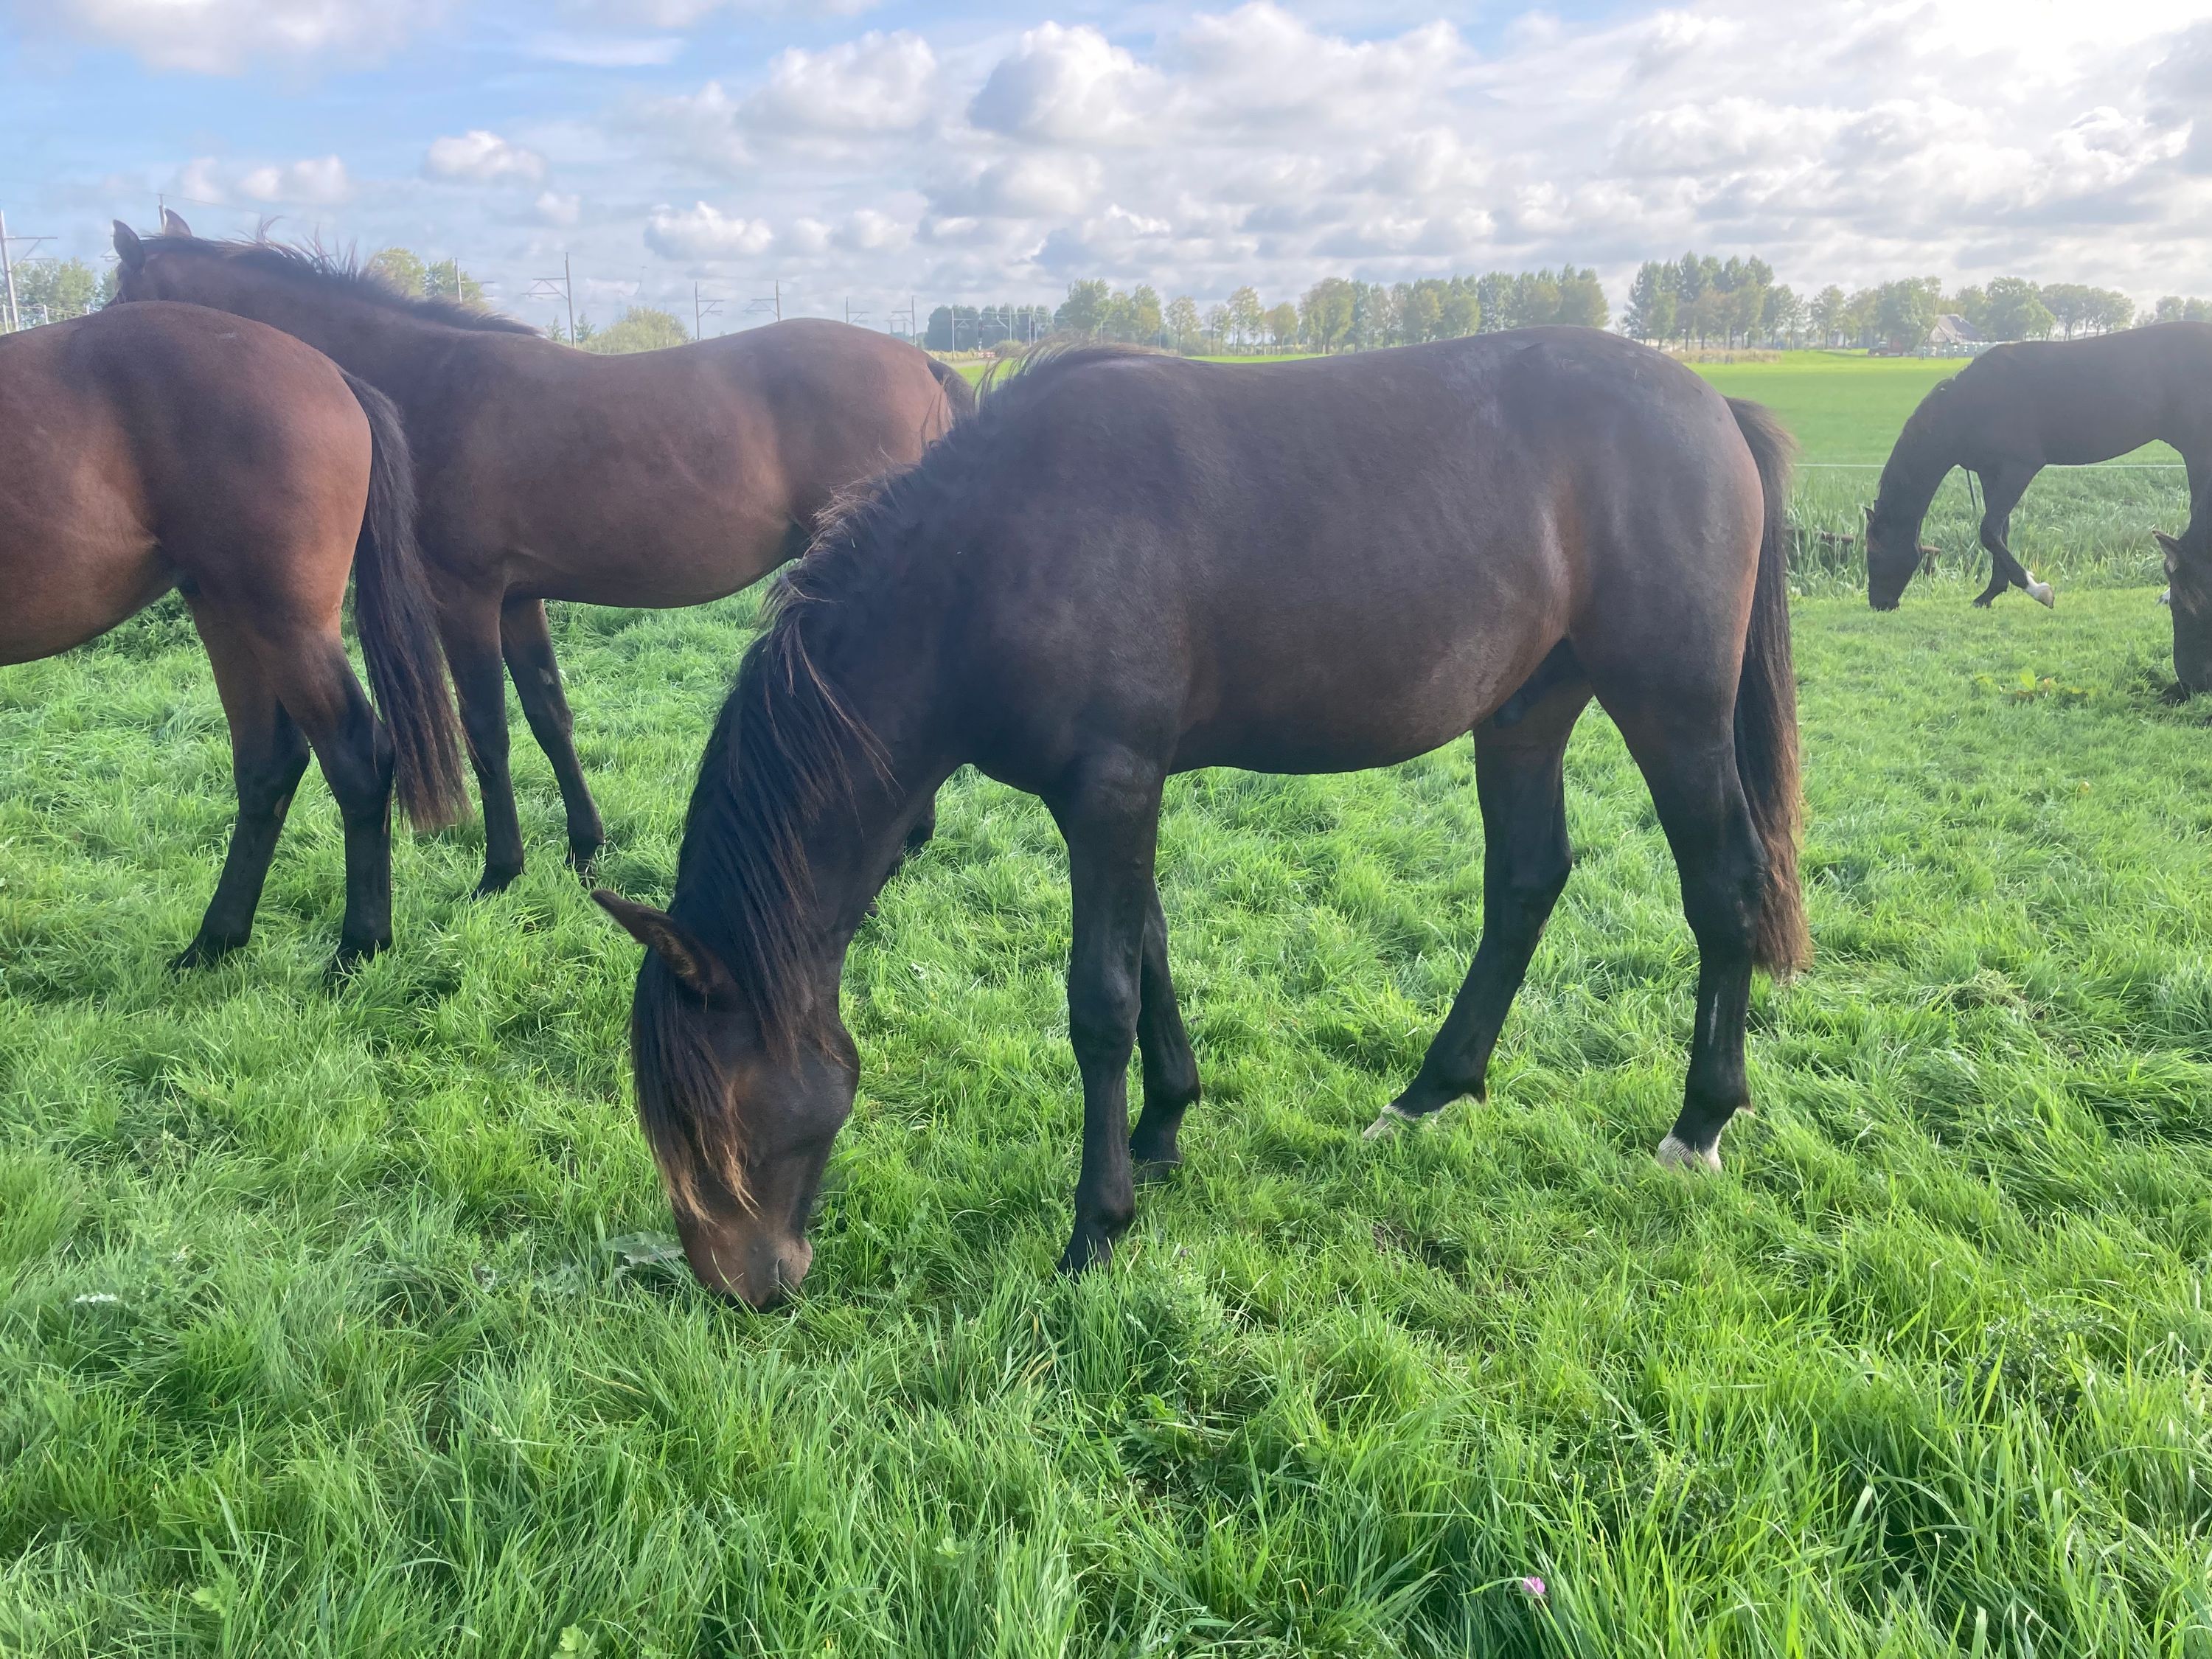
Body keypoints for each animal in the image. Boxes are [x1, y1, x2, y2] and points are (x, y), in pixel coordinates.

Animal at [0, 301, 467, 969]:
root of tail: (332, 374)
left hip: (284, 622)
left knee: (359, 756)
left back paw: (357, 947)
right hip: (227, 611)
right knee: (268, 763)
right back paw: (214, 942)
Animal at [112, 213, 972, 894]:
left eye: (118, 295)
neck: (422, 381)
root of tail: (921, 362)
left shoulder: (463, 595)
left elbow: (486, 726)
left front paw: (500, 870)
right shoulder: (520, 598)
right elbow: (548, 713)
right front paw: (585, 848)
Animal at [590, 335, 1810, 1308]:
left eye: (713, 1120)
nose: (745, 1288)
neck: (994, 555)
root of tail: (1714, 404)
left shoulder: (1112, 786)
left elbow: (1101, 1000)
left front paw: (1096, 1226)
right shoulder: (1120, 793)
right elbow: (1154, 953)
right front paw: (1164, 1126)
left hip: (1670, 702)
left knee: (1723, 884)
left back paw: (1700, 1123)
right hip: (1528, 707)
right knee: (1526, 881)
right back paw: (1426, 1095)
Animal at [1865, 323, 2212, 629]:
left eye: (1874, 552)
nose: (1879, 604)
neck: (1969, 404)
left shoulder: (2019, 468)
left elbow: (1989, 531)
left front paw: (2038, 590)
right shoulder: (1991, 473)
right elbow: (1999, 533)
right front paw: (1990, 594)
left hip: (2197, 451)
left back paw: (2170, 593)